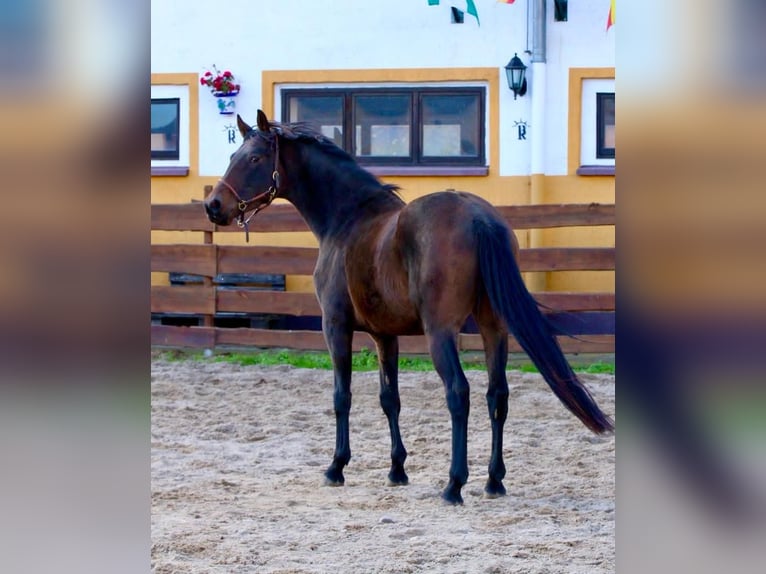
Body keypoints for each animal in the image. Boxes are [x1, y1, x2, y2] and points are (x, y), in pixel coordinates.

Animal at [204, 110, 614, 504]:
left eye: (254, 158)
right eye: (232, 156)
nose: (213, 206)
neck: (348, 218)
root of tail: (478, 217)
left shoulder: (335, 326)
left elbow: (342, 396)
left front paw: (337, 466)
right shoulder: (385, 336)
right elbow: (390, 399)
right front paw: (397, 470)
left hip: (440, 333)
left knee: (458, 393)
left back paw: (454, 484)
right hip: (493, 328)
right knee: (497, 394)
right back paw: (493, 480)